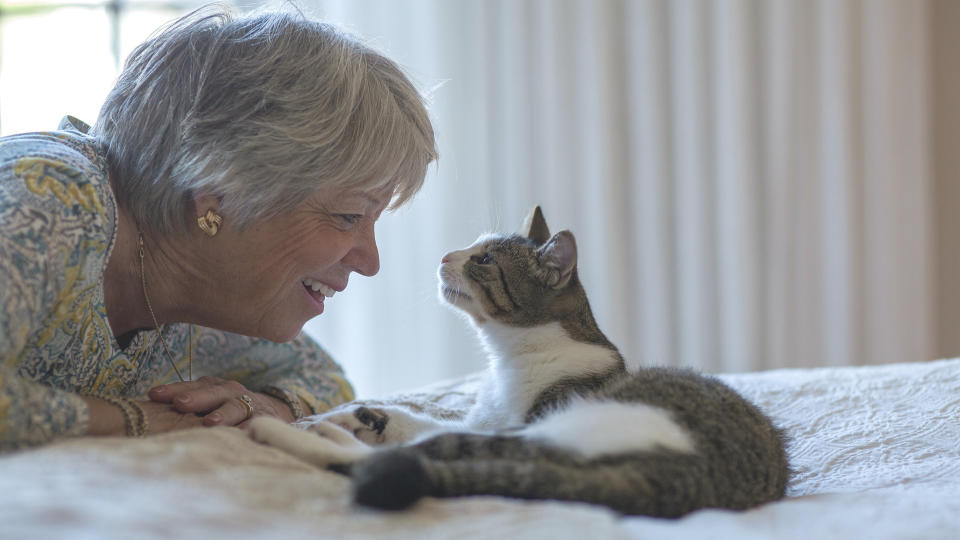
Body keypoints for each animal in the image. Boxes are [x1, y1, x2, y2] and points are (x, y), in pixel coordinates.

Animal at [251, 208, 792, 520]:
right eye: (474, 247)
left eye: (485, 260)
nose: (445, 254)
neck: (509, 357)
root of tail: (689, 480)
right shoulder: (481, 417)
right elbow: (411, 418)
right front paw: (357, 413)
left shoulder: (512, 421)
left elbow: (423, 436)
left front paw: (334, 421)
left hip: (571, 427)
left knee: (407, 457)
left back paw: (289, 432)